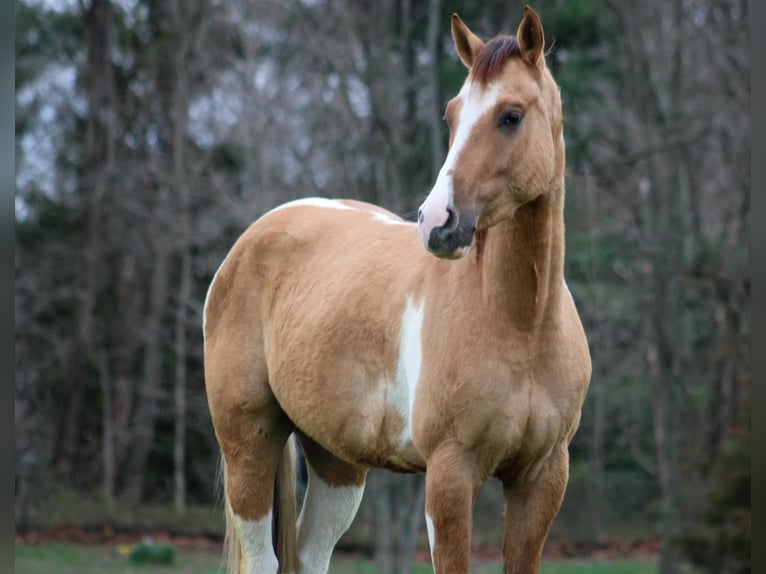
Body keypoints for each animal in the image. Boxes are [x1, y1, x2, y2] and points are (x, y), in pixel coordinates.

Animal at [202, 5, 588, 574]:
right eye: (451, 115)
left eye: (511, 115)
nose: (437, 222)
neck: (521, 325)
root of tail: (252, 238)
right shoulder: (450, 476)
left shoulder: (542, 479)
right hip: (248, 443)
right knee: (263, 557)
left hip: (337, 462)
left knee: (312, 554)